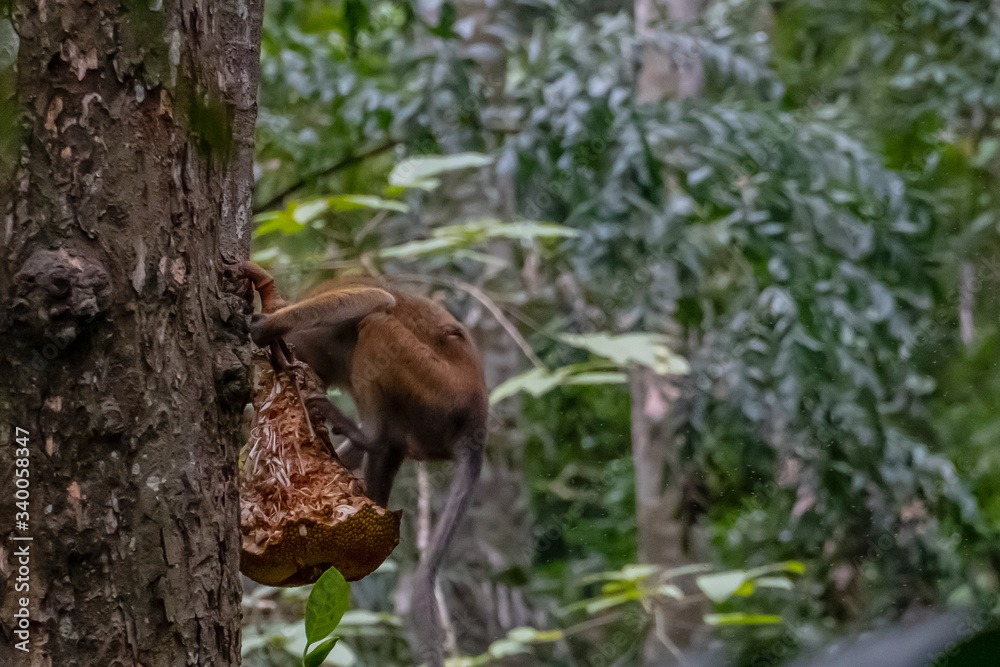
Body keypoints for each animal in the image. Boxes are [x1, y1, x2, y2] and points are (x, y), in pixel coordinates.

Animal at [240, 262, 487, 667]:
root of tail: (477, 417)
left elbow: (373, 300)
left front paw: (263, 325)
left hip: (441, 390)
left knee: (378, 322)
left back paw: (368, 435)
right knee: (390, 444)